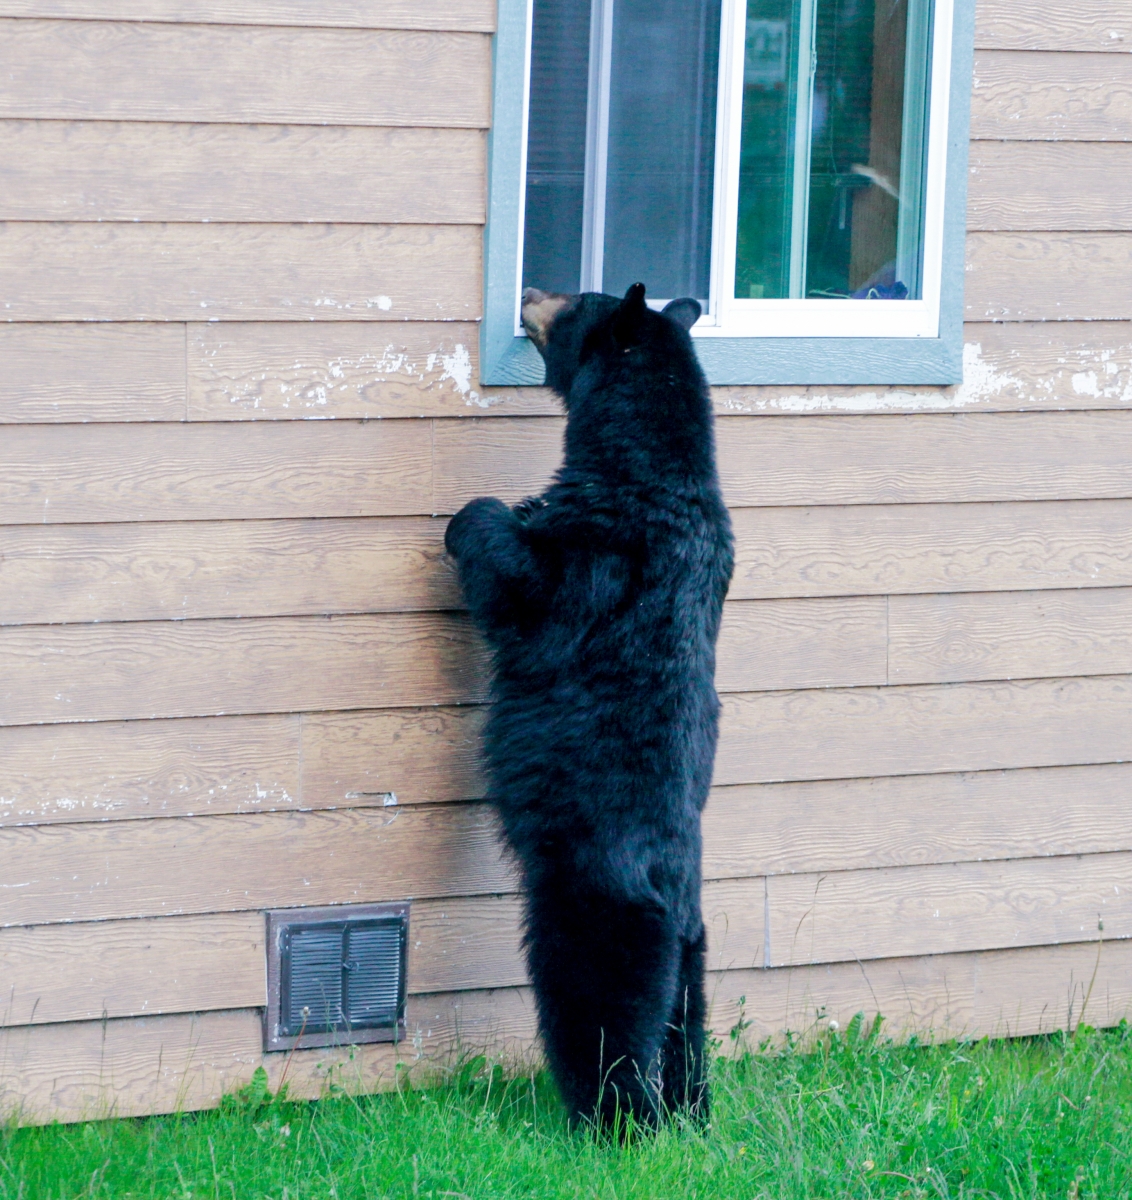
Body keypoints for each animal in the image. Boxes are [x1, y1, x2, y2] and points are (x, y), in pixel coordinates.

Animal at [441, 285, 734, 1128]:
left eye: (577, 301)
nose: (532, 291)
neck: (647, 468)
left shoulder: (602, 553)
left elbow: (524, 589)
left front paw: (476, 516)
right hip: (694, 947)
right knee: (686, 1019)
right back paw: (691, 1112)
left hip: (593, 907)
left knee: (602, 1011)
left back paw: (615, 1120)